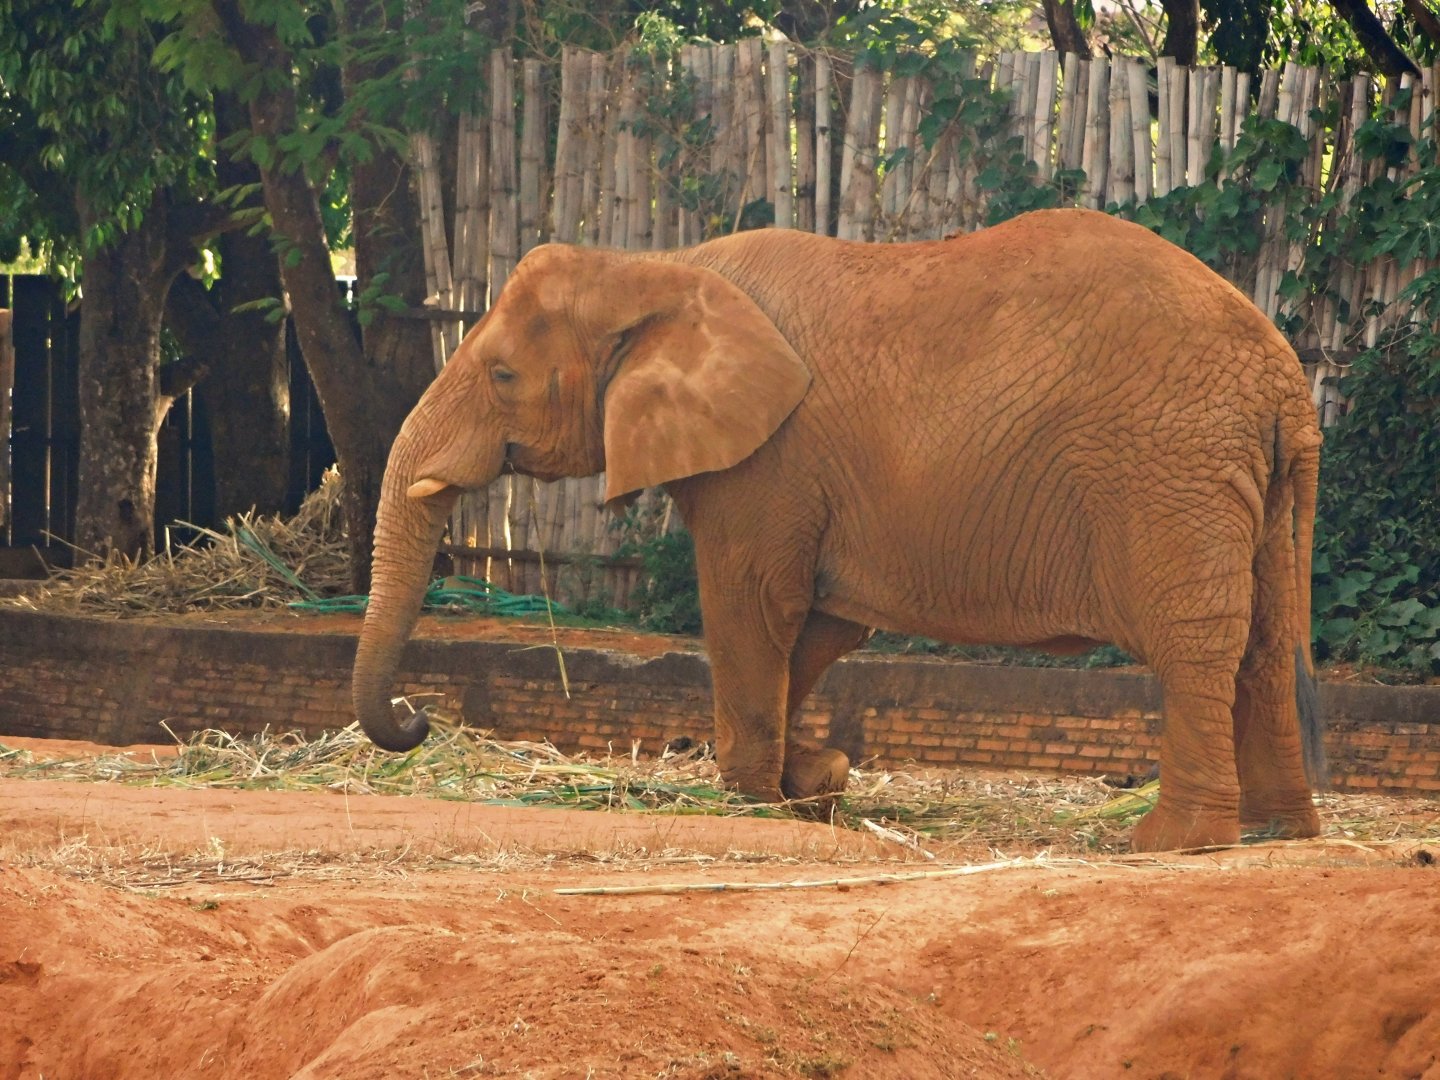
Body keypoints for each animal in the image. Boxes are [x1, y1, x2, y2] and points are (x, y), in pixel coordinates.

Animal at [352, 207, 1325, 853]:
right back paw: (1281, 832)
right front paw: (817, 781)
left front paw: (753, 798)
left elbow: (752, 607)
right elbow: (822, 625)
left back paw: (1173, 842)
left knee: (1197, 646)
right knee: (1266, 644)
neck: (658, 265)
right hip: (1245, 485)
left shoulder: (768, 459)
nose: (416, 718)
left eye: (503, 375)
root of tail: (1284, 379)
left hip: (1169, 473)